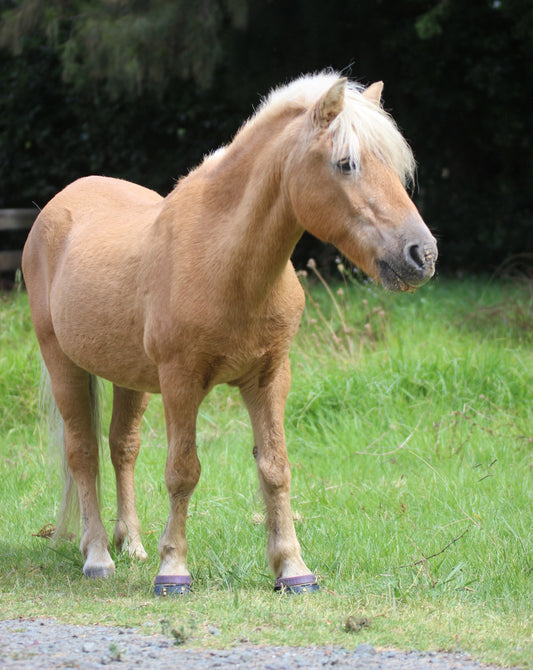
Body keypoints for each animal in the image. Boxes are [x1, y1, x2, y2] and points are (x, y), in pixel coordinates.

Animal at [22, 72, 437, 595]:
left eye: (396, 168)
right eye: (346, 163)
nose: (422, 254)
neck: (224, 257)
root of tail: (56, 207)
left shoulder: (268, 379)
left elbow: (275, 468)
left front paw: (292, 569)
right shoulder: (181, 383)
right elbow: (183, 471)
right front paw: (173, 570)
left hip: (127, 376)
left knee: (122, 448)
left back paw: (131, 544)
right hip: (63, 363)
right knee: (83, 453)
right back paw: (98, 556)